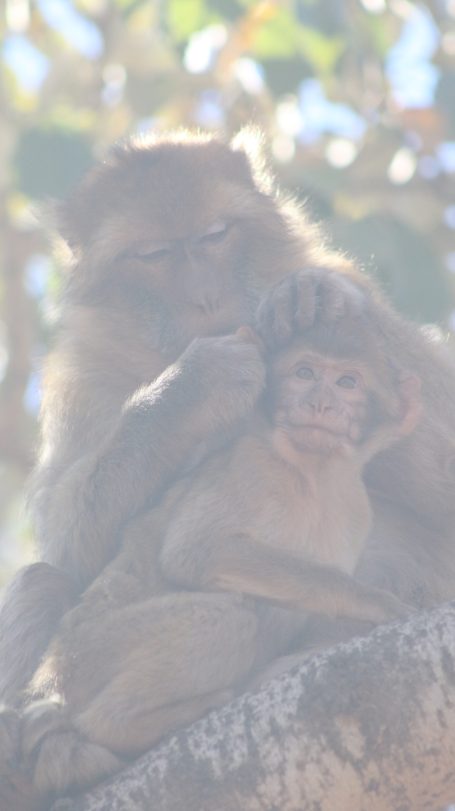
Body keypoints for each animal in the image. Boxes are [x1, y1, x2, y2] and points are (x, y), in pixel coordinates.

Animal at [0, 315, 420, 808]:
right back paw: (128, 724)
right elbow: (195, 551)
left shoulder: (356, 511)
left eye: (348, 382)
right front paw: (377, 603)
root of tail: (46, 682)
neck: (314, 476)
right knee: (232, 618)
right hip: (87, 655)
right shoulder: (252, 464)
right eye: (304, 373)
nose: (320, 404)